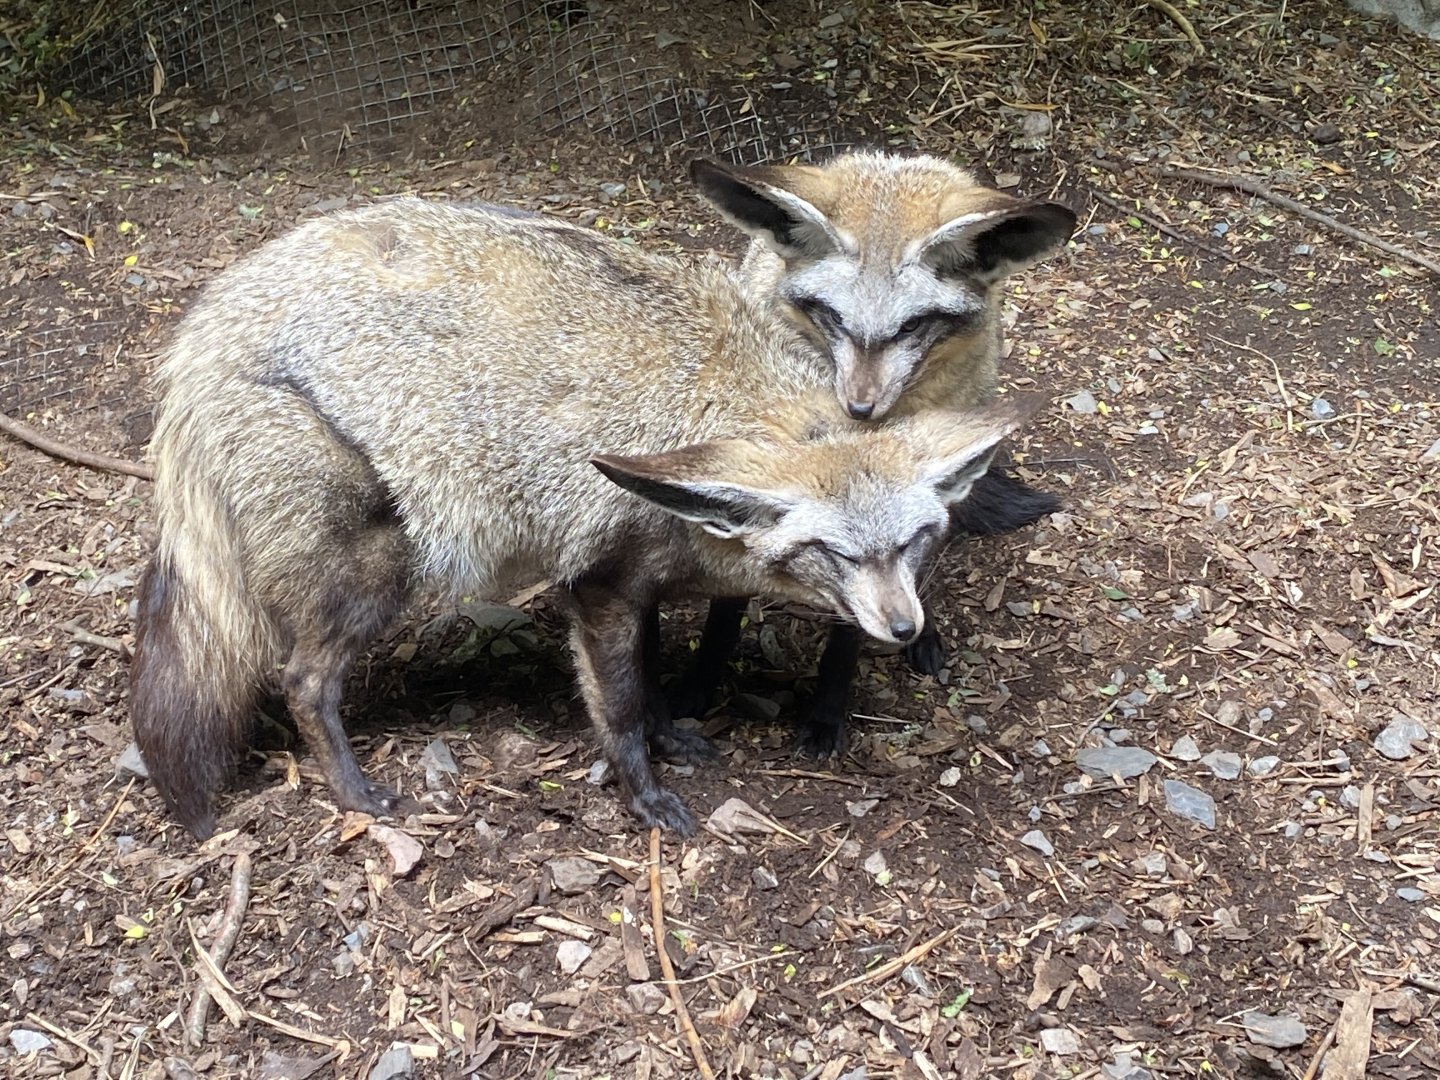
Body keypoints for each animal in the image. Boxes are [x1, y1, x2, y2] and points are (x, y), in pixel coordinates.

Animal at [129, 197, 1037, 840]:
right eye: (836, 553)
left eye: (915, 542)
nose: (902, 626)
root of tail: (202, 332)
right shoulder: (597, 585)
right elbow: (622, 705)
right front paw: (645, 793)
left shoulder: (646, 579)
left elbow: (656, 677)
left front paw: (675, 734)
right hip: (379, 574)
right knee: (301, 680)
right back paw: (354, 791)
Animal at [656, 152, 1077, 753]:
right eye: (833, 317)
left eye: (913, 325)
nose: (858, 408)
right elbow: (729, 598)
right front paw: (701, 678)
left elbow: (857, 623)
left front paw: (828, 710)